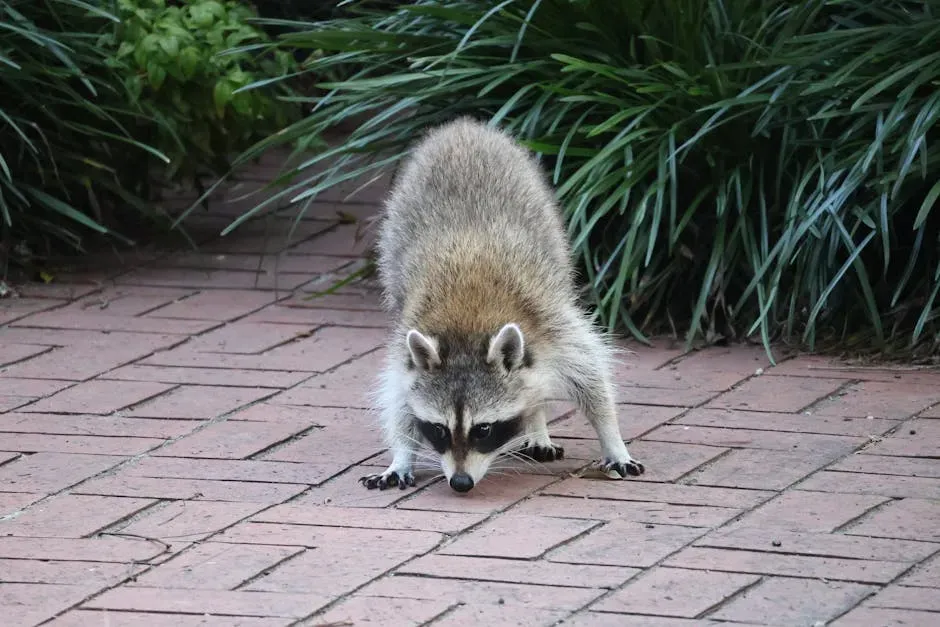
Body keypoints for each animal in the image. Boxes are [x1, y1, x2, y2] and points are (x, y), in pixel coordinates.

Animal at [360, 117, 645, 493]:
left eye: (483, 430)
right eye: (439, 430)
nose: (461, 483)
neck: (465, 327)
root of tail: (463, 127)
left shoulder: (554, 324)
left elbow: (592, 380)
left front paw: (612, 439)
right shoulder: (405, 339)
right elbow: (398, 398)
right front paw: (402, 453)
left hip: (546, 219)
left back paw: (537, 424)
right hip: (392, 237)